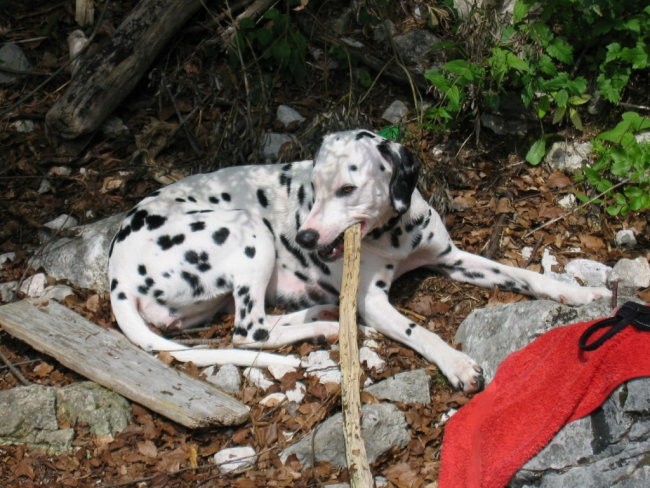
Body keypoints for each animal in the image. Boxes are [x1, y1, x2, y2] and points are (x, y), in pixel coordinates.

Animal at [109, 127, 612, 390]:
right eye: (314, 186)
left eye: (347, 188)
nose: (306, 236)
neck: (395, 234)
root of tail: (117, 277)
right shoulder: (374, 301)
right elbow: (419, 331)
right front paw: (456, 363)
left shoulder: (453, 258)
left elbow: (519, 274)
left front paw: (574, 291)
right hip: (248, 231)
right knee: (250, 331)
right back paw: (331, 327)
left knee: (263, 323)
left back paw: (323, 314)